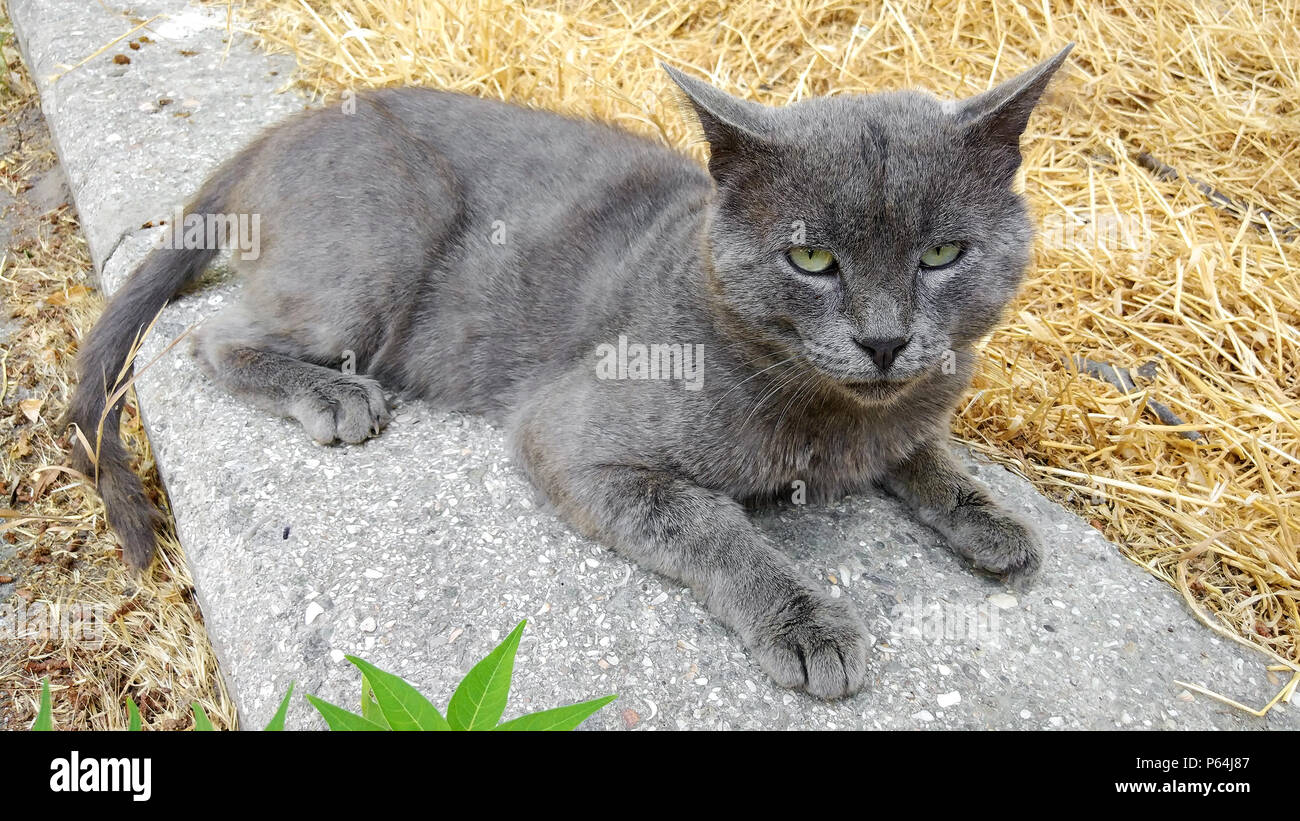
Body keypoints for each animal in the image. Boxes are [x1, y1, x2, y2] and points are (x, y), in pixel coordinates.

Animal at [68, 46, 1066, 701]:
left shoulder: (909, 406)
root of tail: (288, 125)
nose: (886, 340)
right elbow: (711, 524)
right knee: (211, 338)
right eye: (812, 259)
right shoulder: (572, 438)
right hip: (382, 249)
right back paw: (331, 392)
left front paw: (990, 518)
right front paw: (806, 621)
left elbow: (924, 448)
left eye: (942, 253)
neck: (832, 417)